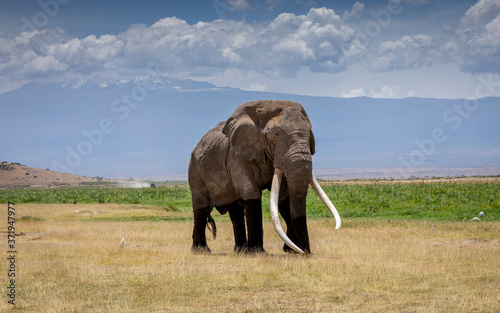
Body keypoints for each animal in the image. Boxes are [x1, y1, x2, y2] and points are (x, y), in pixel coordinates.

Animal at [188, 100, 340, 254]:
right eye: (276, 134)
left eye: (309, 135)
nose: (306, 253)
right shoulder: (236, 155)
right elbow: (251, 192)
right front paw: (257, 253)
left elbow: (284, 198)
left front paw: (292, 251)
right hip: (195, 172)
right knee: (202, 210)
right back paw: (201, 250)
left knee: (235, 211)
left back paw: (240, 250)